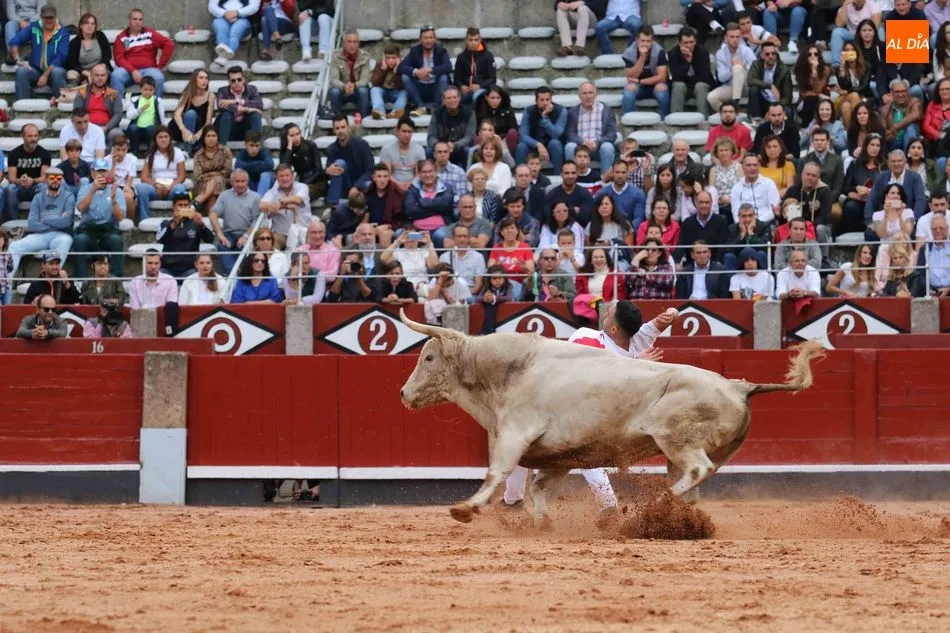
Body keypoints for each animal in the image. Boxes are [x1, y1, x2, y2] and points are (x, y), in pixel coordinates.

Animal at [398, 308, 825, 526]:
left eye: (429, 357)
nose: (402, 394)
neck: (511, 369)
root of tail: (739, 386)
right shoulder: (559, 456)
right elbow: (538, 487)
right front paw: (540, 524)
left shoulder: (515, 433)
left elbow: (497, 472)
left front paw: (465, 509)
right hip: (699, 451)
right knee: (696, 481)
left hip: (674, 437)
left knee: (696, 470)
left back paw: (656, 507)